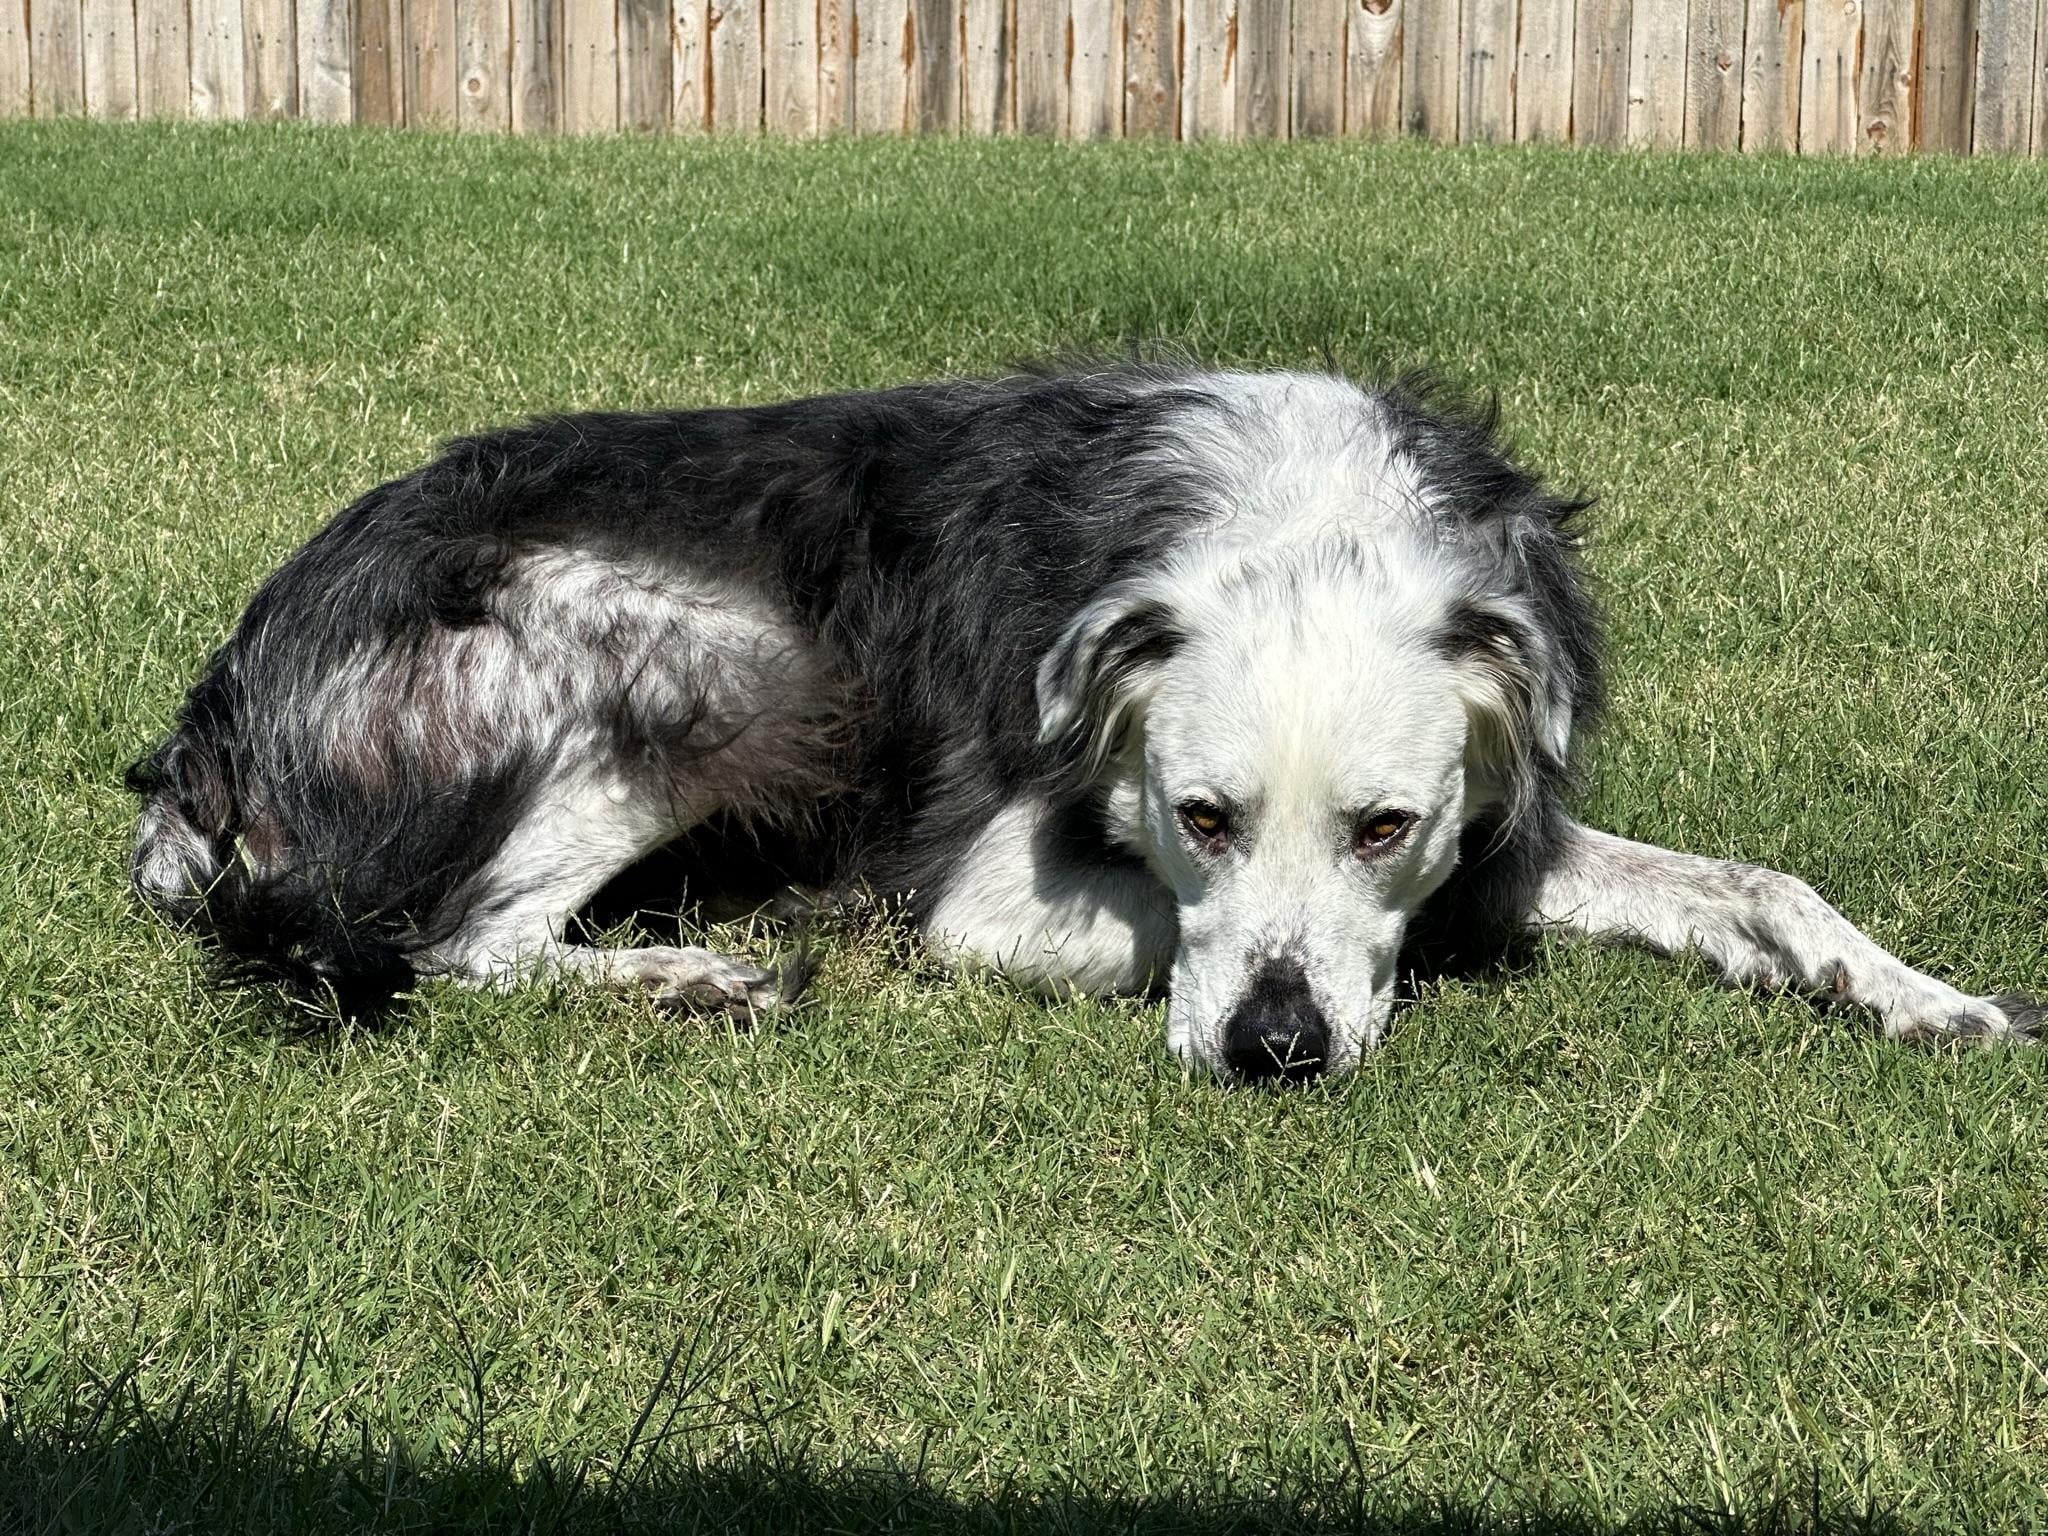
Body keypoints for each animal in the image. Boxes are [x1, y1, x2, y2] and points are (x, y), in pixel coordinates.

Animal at [123, 364, 2031, 1081]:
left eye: (1385, 826)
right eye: (1196, 818)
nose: (1276, 1054)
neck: (1299, 519)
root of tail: (217, 722)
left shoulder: (1508, 821)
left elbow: (1757, 887)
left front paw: (1918, 993)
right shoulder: (985, 886)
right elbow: (1140, 934)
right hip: (730, 666)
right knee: (460, 943)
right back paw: (688, 974)